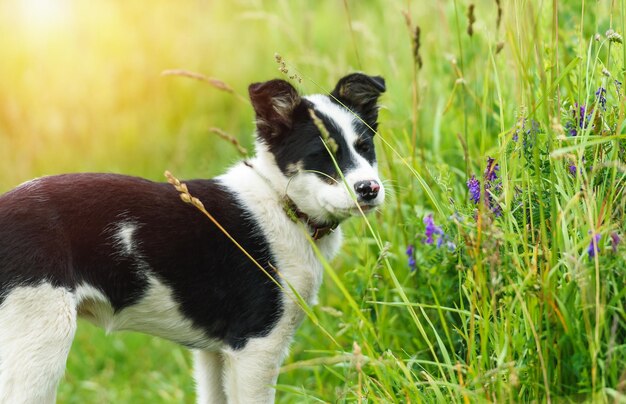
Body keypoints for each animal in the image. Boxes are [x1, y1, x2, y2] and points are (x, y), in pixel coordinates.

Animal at [0, 73, 386, 404]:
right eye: (323, 155)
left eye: (366, 148)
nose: (370, 189)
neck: (281, 201)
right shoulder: (257, 346)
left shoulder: (215, 352)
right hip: (39, 342)